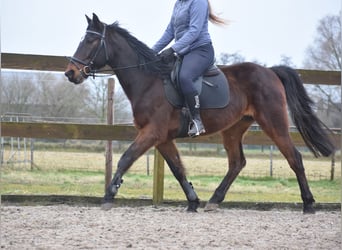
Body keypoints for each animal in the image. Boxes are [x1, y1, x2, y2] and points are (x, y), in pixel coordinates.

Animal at [64, 13, 334, 213]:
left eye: (90, 42)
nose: (70, 73)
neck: (149, 80)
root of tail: (270, 72)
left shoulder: (152, 133)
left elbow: (126, 158)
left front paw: (109, 196)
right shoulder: (162, 138)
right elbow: (177, 169)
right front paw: (193, 200)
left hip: (273, 123)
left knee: (294, 158)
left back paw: (309, 204)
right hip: (234, 128)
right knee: (237, 162)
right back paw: (214, 200)